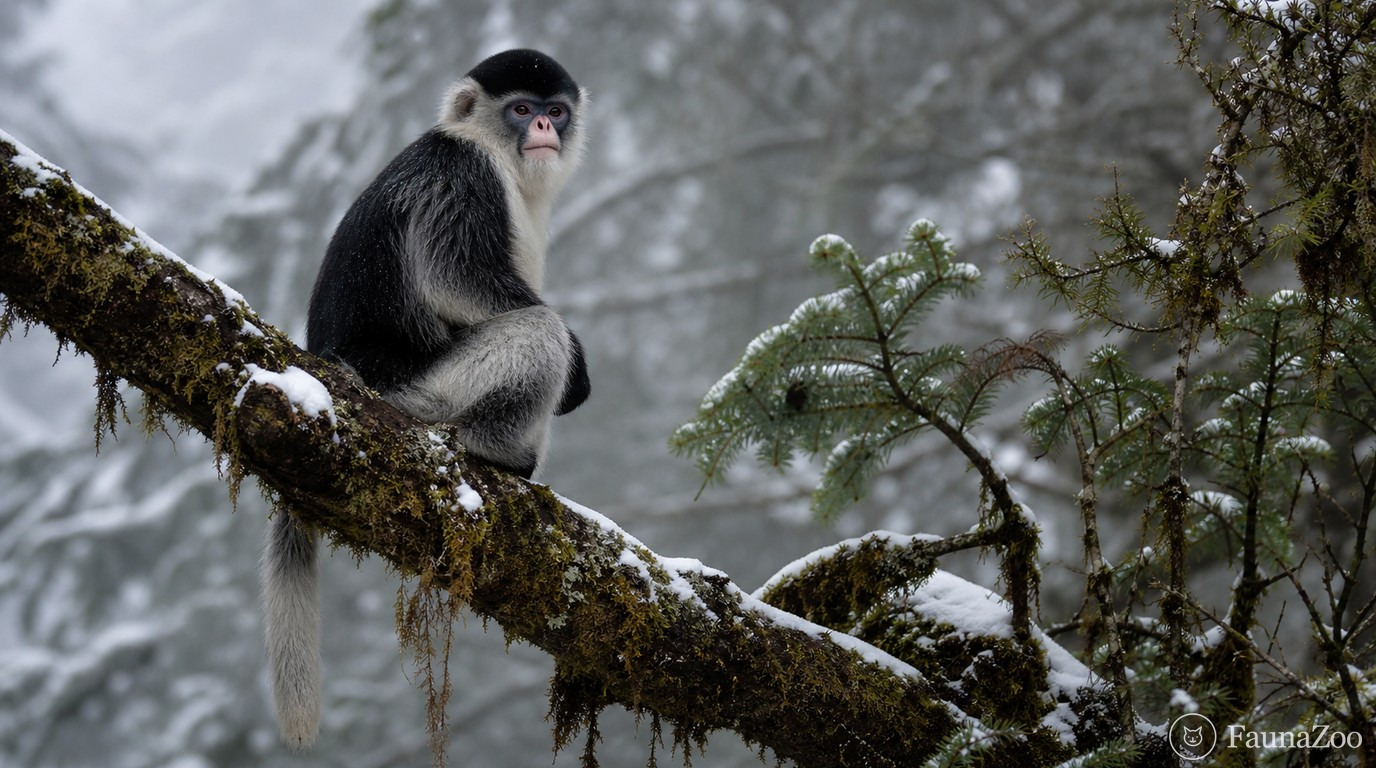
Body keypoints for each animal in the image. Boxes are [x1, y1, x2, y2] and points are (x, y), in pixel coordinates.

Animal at [261, 49, 591, 749]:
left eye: (556, 111)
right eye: (522, 109)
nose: (544, 129)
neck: (492, 150)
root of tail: (333, 373)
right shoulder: (463, 177)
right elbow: (456, 277)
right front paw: (579, 371)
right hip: (422, 394)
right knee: (538, 333)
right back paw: (499, 454)